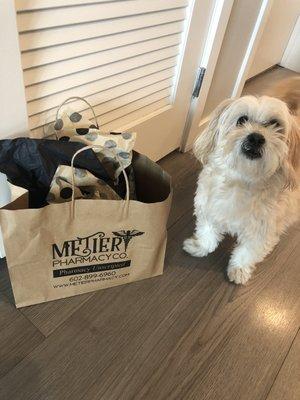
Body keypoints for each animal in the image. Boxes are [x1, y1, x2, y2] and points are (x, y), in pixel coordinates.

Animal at [183, 79, 300, 284]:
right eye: (242, 120)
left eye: (274, 124)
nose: (256, 137)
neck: (242, 180)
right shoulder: (210, 210)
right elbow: (207, 234)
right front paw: (200, 247)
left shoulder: (261, 233)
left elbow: (247, 253)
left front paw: (239, 270)